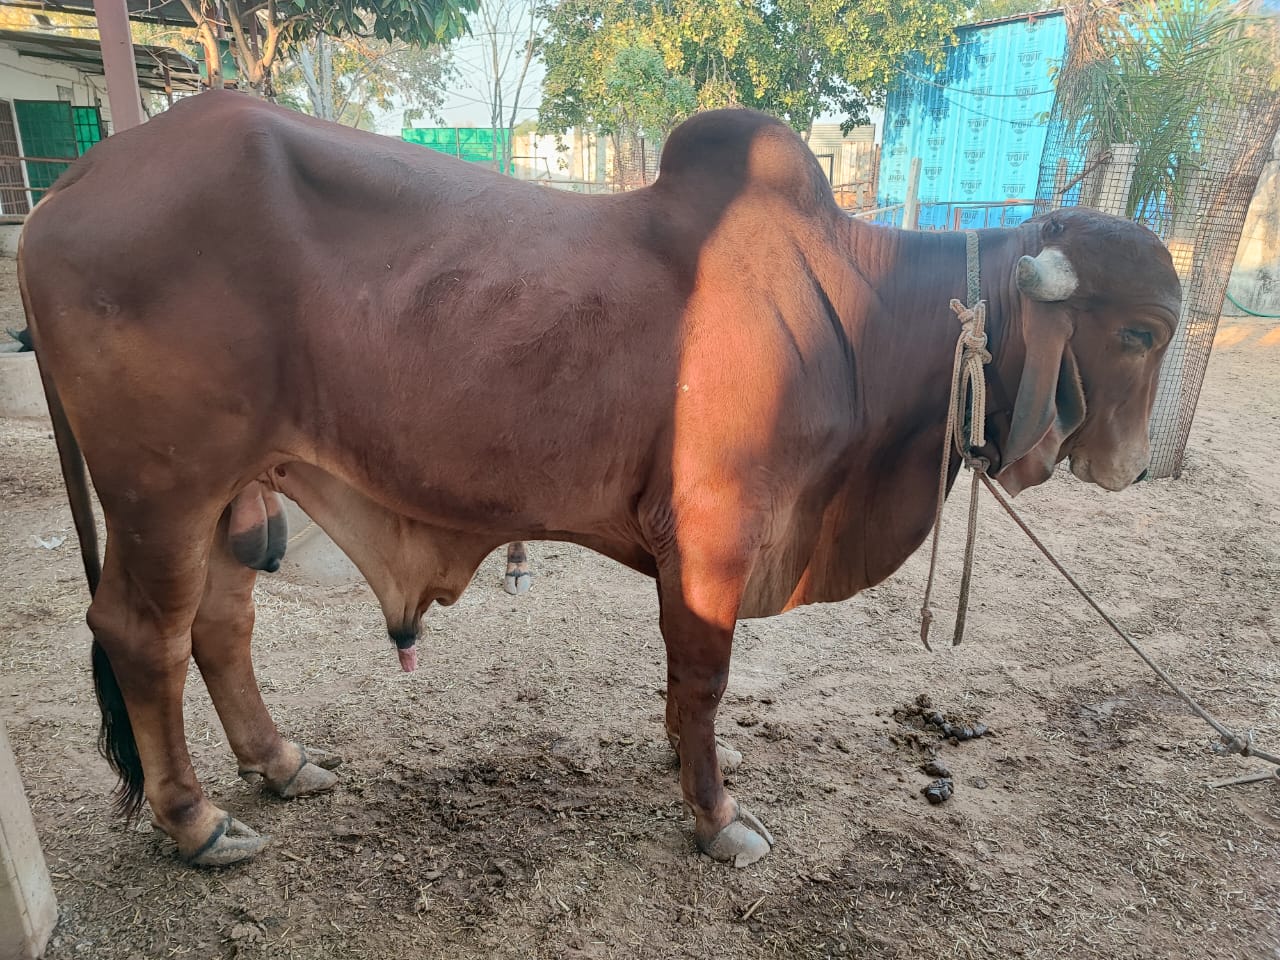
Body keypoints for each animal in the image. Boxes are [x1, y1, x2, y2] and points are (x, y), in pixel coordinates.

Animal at [19, 91, 1181, 869]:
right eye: (1136, 331)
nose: (1128, 470)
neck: (858, 318)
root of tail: (70, 185)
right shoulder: (712, 537)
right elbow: (703, 679)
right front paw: (717, 818)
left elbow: (683, 691)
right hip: (161, 490)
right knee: (140, 635)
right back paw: (195, 822)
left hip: (230, 488)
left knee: (218, 626)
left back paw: (279, 763)